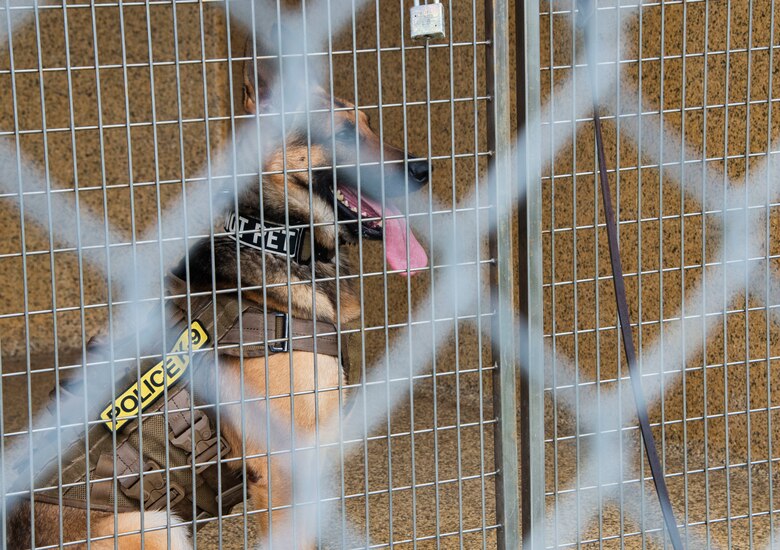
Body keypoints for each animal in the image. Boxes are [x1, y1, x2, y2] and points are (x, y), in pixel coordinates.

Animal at [7, 36, 432, 548]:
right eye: (346, 135)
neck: (275, 237)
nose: (423, 169)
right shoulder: (283, 475)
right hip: (154, 525)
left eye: (371, 125)